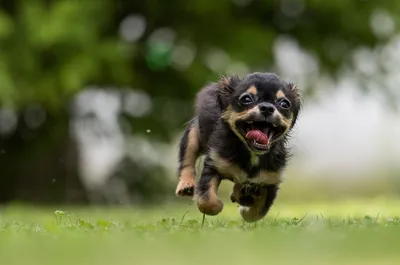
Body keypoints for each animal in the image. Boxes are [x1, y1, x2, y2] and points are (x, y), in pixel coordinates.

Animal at [175, 71, 300, 221]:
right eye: (246, 99)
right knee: (187, 161)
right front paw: (218, 206)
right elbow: (207, 201)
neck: (252, 153)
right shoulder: (214, 165)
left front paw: (245, 209)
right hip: (193, 136)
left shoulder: (271, 181)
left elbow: (257, 213)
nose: (267, 108)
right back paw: (186, 185)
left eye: (284, 104)